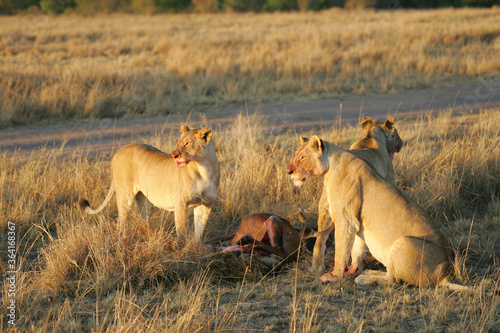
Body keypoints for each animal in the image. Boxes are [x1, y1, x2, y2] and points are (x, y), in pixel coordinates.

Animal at [79, 124, 220, 244]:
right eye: (179, 142)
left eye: (187, 143)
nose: (174, 155)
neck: (204, 170)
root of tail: (118, 151)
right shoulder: (181, 202)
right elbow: (182, 232)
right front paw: (183, 254)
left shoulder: (206, 204)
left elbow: (199, 232)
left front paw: (198, 251)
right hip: (125, 196)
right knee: (121, 222)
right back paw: (121, 241)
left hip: (144, 201)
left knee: (145, 220)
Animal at [286, 134, 468, 290]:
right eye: (296, 155)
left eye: (302, 157)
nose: (289, 171)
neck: (330, 166)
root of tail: (445, 273)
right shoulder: (357, 222)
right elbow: (357, 249)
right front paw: (352, 271)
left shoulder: (345, 220)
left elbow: (341, 251)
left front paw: (334, 276)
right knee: (390, 274)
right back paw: (368, 272)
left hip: (404, 242)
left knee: (394, 280)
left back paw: (365, 279)